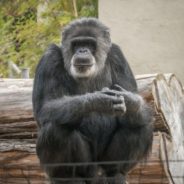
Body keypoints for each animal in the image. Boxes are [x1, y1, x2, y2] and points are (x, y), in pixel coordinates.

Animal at [32, 17, 153, 184]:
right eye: (77, 44)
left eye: (89, 44)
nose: (82, 51)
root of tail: (96, 175)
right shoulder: (48, 59)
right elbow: (45, 106)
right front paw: (98, 100)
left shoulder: (118, 56)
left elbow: (137, 102)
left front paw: (130, 101)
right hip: (86, 168)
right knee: (56, 129)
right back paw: (68, 178)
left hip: (104, 163)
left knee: (139, 125)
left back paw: (115, 174)